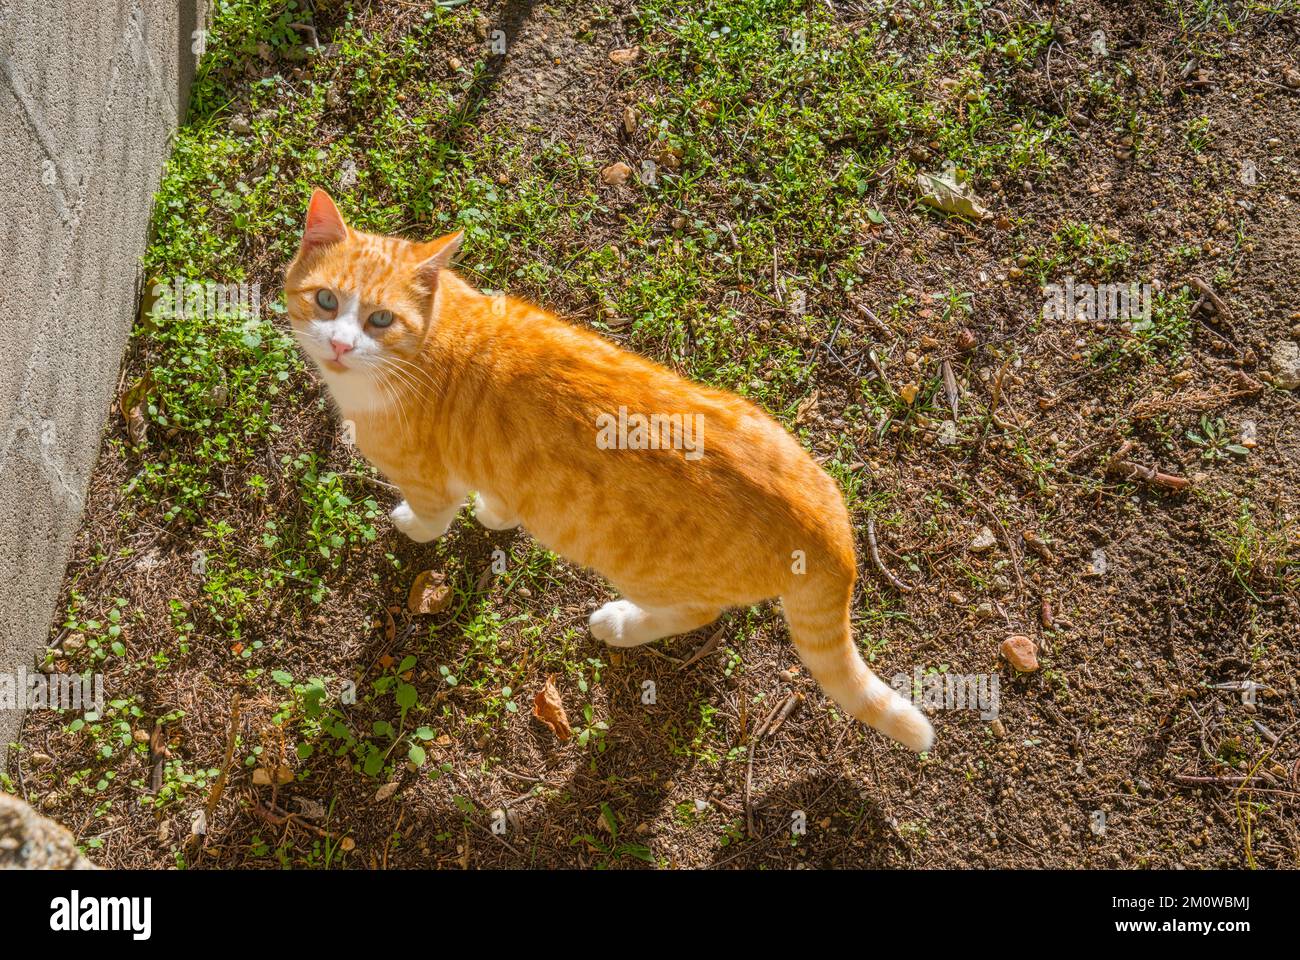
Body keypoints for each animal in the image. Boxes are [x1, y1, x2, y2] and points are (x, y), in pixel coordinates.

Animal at [284, 191, 935, 749]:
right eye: (326, 301)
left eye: (381, 320)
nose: (340, 345)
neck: (433, 338)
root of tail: (832, 521)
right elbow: (499, 499)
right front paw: (496, 514)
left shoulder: (427, 481)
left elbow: (430, 516)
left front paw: (413, 525)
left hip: (650, 576)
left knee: (698, 613)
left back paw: (619, 624)